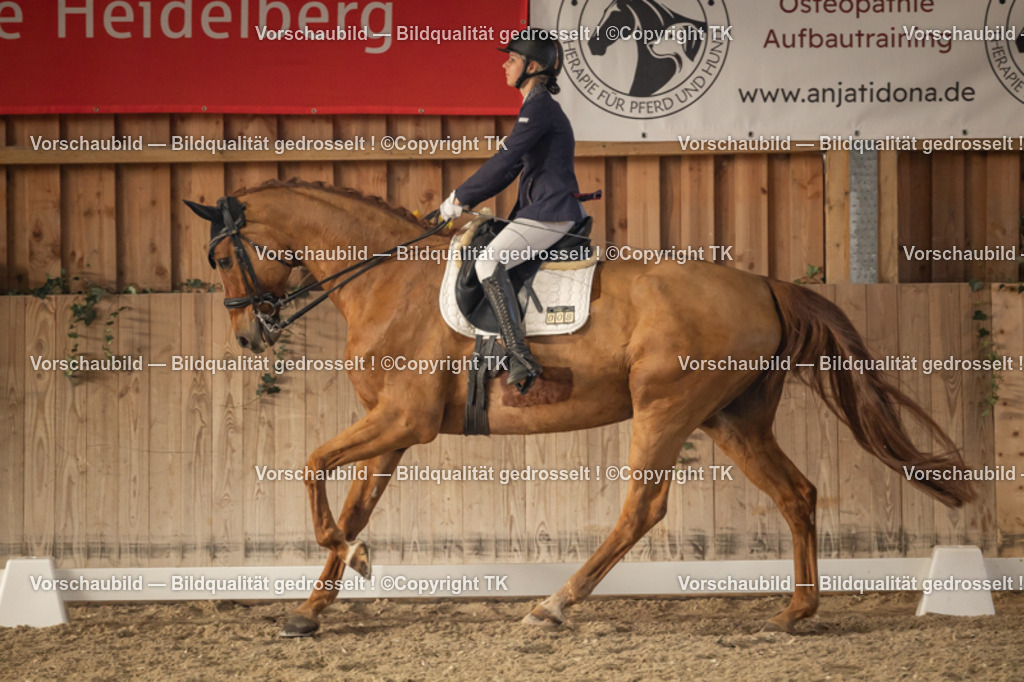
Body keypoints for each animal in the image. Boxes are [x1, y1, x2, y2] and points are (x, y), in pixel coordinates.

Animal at [185, 179, 974, 637]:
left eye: (221, 259)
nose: (249, 336)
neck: (387, 280)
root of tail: (765, 284)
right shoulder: (393, 430)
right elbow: (353, 505)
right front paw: (313, 607)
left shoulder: (405, 421)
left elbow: (311, 464)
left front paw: (348, 560)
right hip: (732, 418)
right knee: (797, 494)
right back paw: (799, 610)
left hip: (666, 408)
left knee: (642, 509)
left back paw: (554, 604)